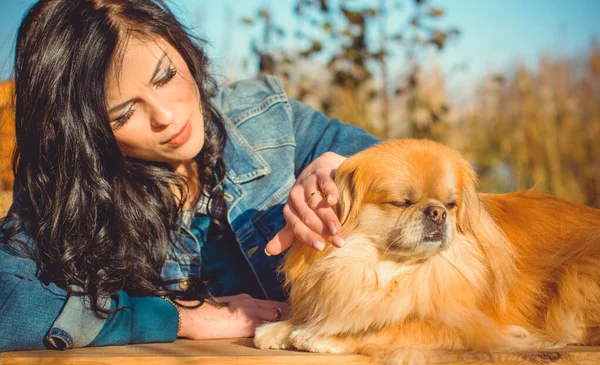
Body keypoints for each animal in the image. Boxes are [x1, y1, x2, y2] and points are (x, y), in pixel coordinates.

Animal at [253, 139, 600, 362]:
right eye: (401, 203)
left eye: (451, 205)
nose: (437, 212)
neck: (394, 269)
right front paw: (280, 328)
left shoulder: (470, 329)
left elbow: (394, 326)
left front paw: (320, 336)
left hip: (578, 278)